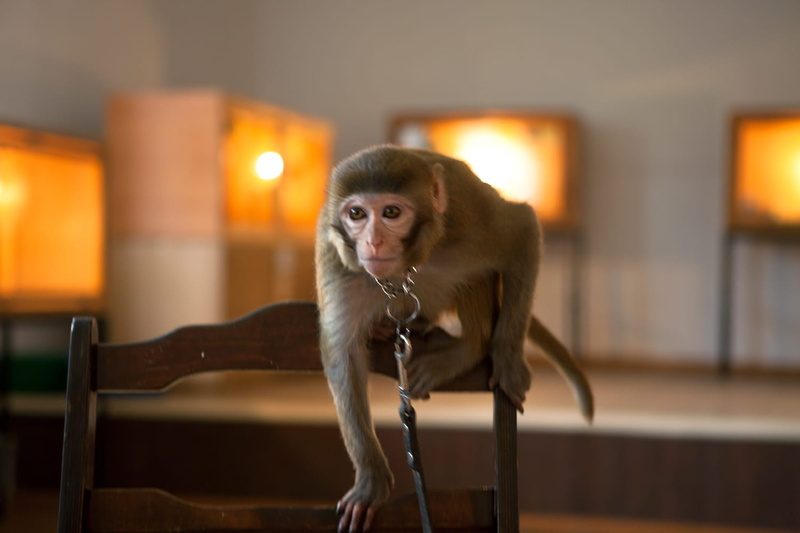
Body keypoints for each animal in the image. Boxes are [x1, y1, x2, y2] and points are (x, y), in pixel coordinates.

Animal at [315, 145, 593, 533]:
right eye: (356, 214)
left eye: (391, 213)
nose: (372, 241)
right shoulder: (337, 262)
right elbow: (343, 356)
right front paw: (371, 479)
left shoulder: (469, 225)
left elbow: (522, 229)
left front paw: (508, 359)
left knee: (478, 275)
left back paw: (466, 348)